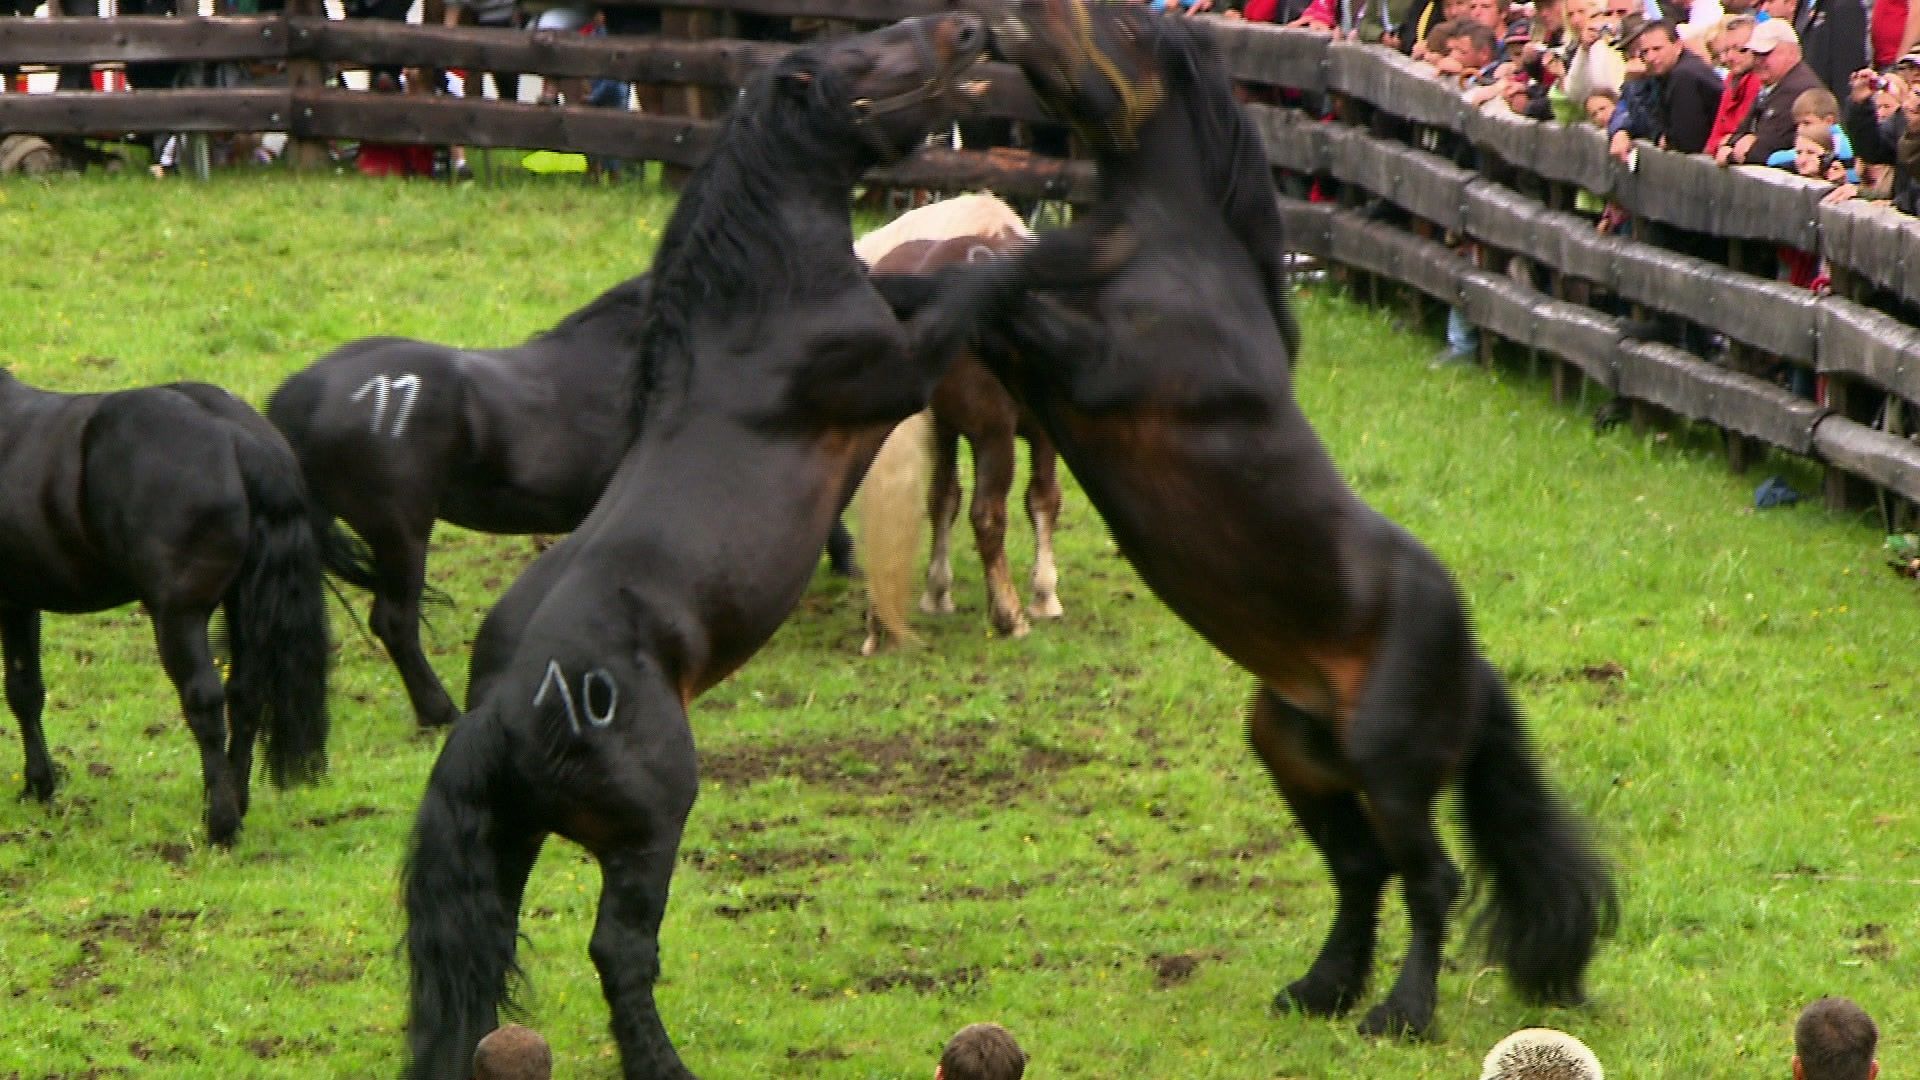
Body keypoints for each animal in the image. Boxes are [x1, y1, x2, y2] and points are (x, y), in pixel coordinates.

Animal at [0, 365, 332, 845]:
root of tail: (241, 440)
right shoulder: (19, 600)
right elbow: (25, 691)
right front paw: (39, 787)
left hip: (180, 616)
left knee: (205, 702)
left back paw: (221, 825)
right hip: (240, 605)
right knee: (246, 693)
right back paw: (235, 802)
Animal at [856, 191, 1067, 645]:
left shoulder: (944, 429)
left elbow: (942, 498)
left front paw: (937, 593)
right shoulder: (1040, 431)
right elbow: (1043, 499)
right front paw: (1044, 597)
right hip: (994, 434)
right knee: (987, 515)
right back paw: (1009, 616)